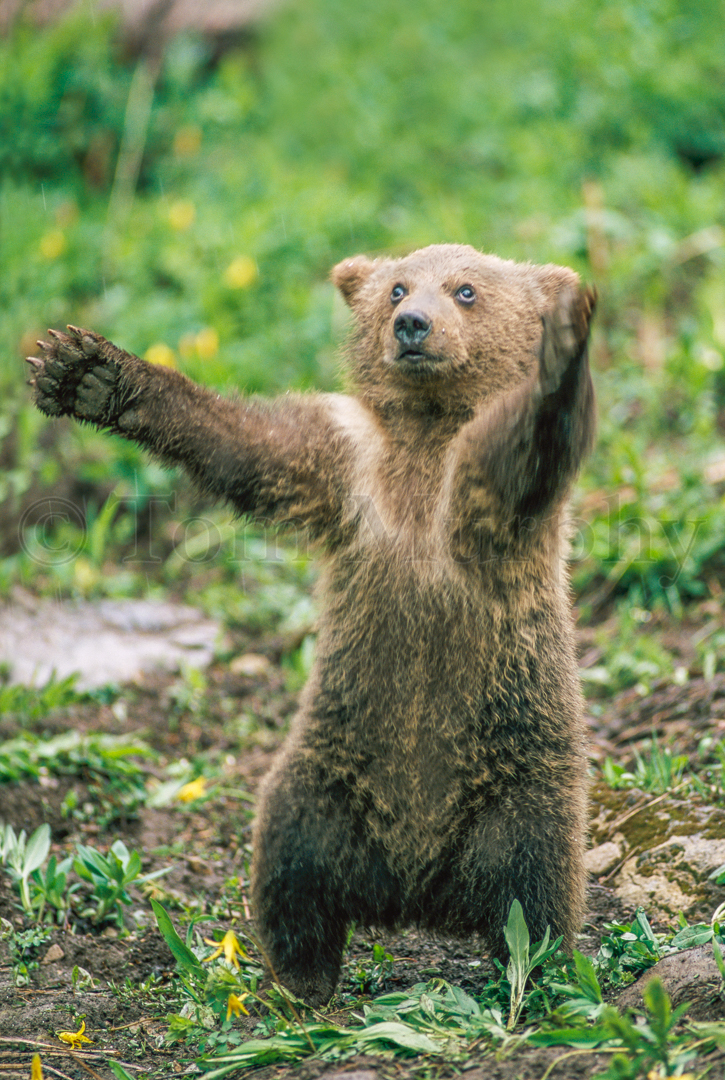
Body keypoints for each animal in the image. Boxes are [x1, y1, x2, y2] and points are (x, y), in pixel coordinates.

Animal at [28, 245, 596, 1002]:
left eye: (466, 289)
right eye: (396, 288)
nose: (413, 325)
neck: (425, 435)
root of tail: (418, 890)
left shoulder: (477, 499)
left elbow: (531, 449)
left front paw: (564, 355)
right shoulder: (346, 465)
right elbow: (247, 447)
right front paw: (86, 371)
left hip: (515, 777)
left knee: (531, 890)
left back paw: (534, 975)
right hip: (329, 775)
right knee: (292, 865)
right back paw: (304, 977)